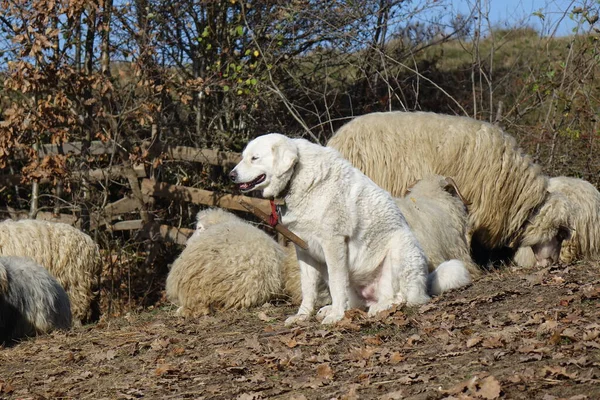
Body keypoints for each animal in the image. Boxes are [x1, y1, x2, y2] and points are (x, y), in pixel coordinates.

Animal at [229, 134, 468, 324]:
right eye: (243, 157)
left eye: (254, 158)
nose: (231, 175)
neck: (297, 177)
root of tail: (425, 283)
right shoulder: (304, 249)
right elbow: (308, 288)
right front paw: (302, 316)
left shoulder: (333, 243)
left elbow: (336, 285)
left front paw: (336, 317)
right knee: (356, 301)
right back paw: (334, 309)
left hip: (402, 250)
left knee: (403, 298)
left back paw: (378, 307)